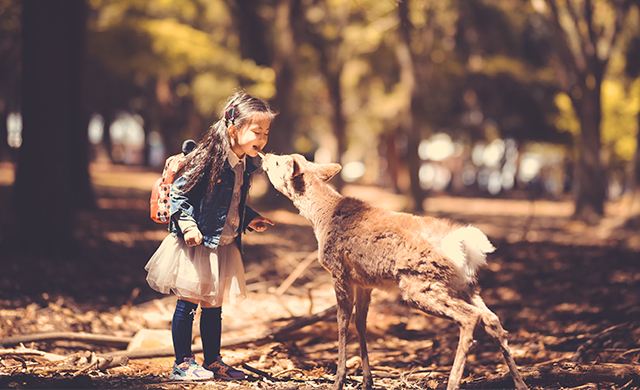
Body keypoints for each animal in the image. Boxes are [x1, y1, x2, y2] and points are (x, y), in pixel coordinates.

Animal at [258, 153, 528, 390]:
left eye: (280, 162)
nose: (265, 155)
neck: (321, 219)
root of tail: (465, 246)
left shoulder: (339, 271)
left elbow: (342, 323)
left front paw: (339, 380)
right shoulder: (364, 282)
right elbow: (361, 322)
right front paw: (367, 381)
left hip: (420, 284)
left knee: (471, 317)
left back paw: (453, 383)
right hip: (465, 285)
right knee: (492, 319)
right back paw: (520, 382)